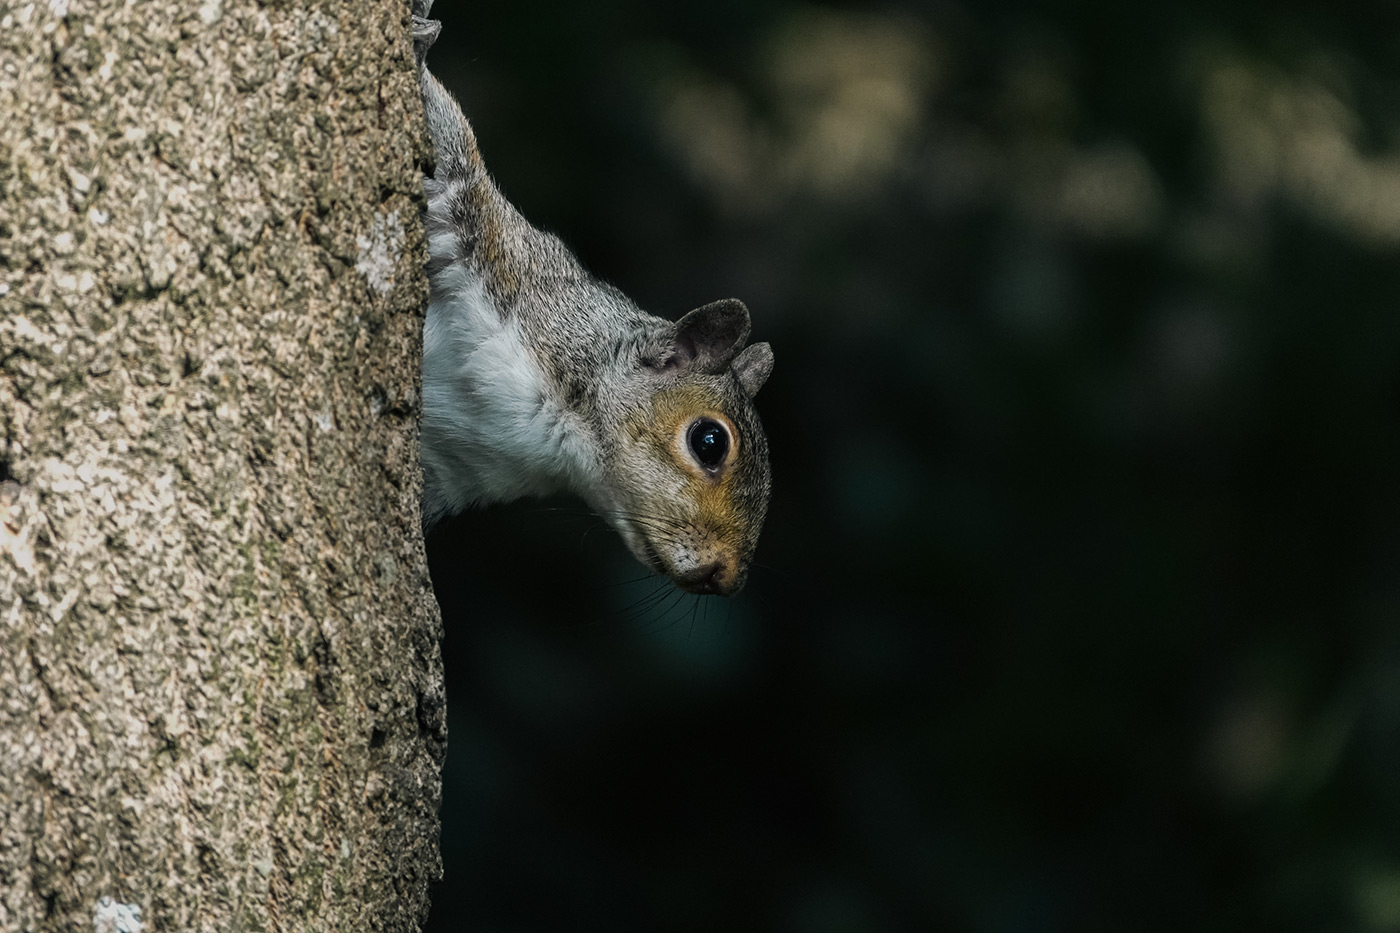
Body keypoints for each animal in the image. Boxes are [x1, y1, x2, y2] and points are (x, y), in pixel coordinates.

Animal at [411, 3, 773, 596]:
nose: (728, 578)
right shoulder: (495, 255)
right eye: (710, 442)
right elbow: (452, 161)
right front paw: (419, 47)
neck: (554, 440)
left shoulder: (452, 471)